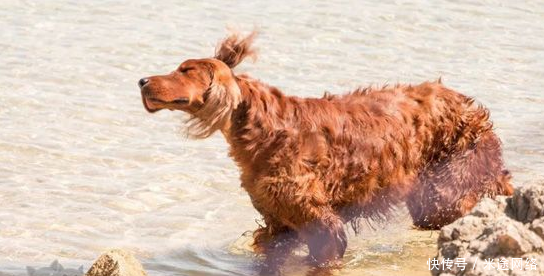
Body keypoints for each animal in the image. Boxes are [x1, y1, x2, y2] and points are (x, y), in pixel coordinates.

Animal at [138, 31, 512, 270]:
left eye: (185, 70)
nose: (142, 80)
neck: (266, 130)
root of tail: (470, 106)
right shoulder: (276, 222)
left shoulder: (321, 221)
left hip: (444, 187)